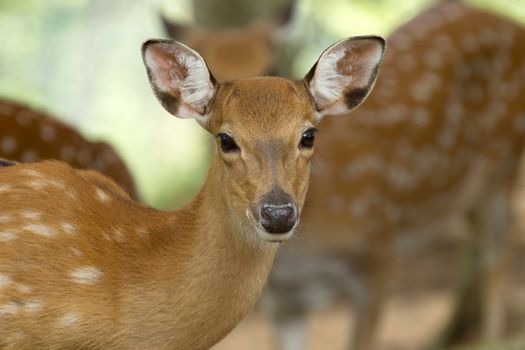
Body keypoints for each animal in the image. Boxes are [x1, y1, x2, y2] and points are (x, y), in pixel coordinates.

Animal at [264, 1, 524, 348]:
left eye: (308, 134)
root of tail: (514, 26)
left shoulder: (377, 256)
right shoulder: (284, 302)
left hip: (503, 162)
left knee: (499, 250)